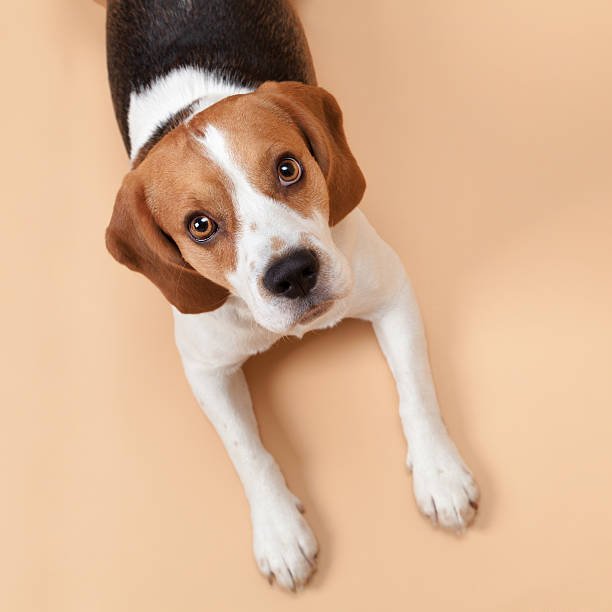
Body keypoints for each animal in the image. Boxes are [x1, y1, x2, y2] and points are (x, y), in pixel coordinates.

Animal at [104, 1, 478, 592]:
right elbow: (246, 451)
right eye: (200, 226)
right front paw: (279, 532)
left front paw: (439, 473)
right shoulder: (204, 371)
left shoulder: (392, 290)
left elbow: (416, 391)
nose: (294, 273)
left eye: (288, 168)